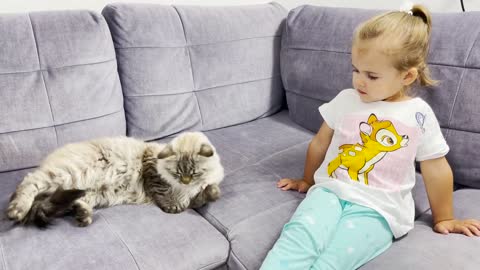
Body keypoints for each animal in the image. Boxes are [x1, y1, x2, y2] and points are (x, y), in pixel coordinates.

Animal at [6, 132, 223, 227]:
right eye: (177, 173)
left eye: (194, 173)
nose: (185, 182)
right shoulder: (152, 170)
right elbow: (166, 194)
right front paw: (173, 206)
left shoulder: (195, 195)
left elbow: (207, 194)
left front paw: (210, 191)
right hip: (67, 174)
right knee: (29, 182)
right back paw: (17, 210)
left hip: (91, 192)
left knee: (75, 203)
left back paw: (83, 216)